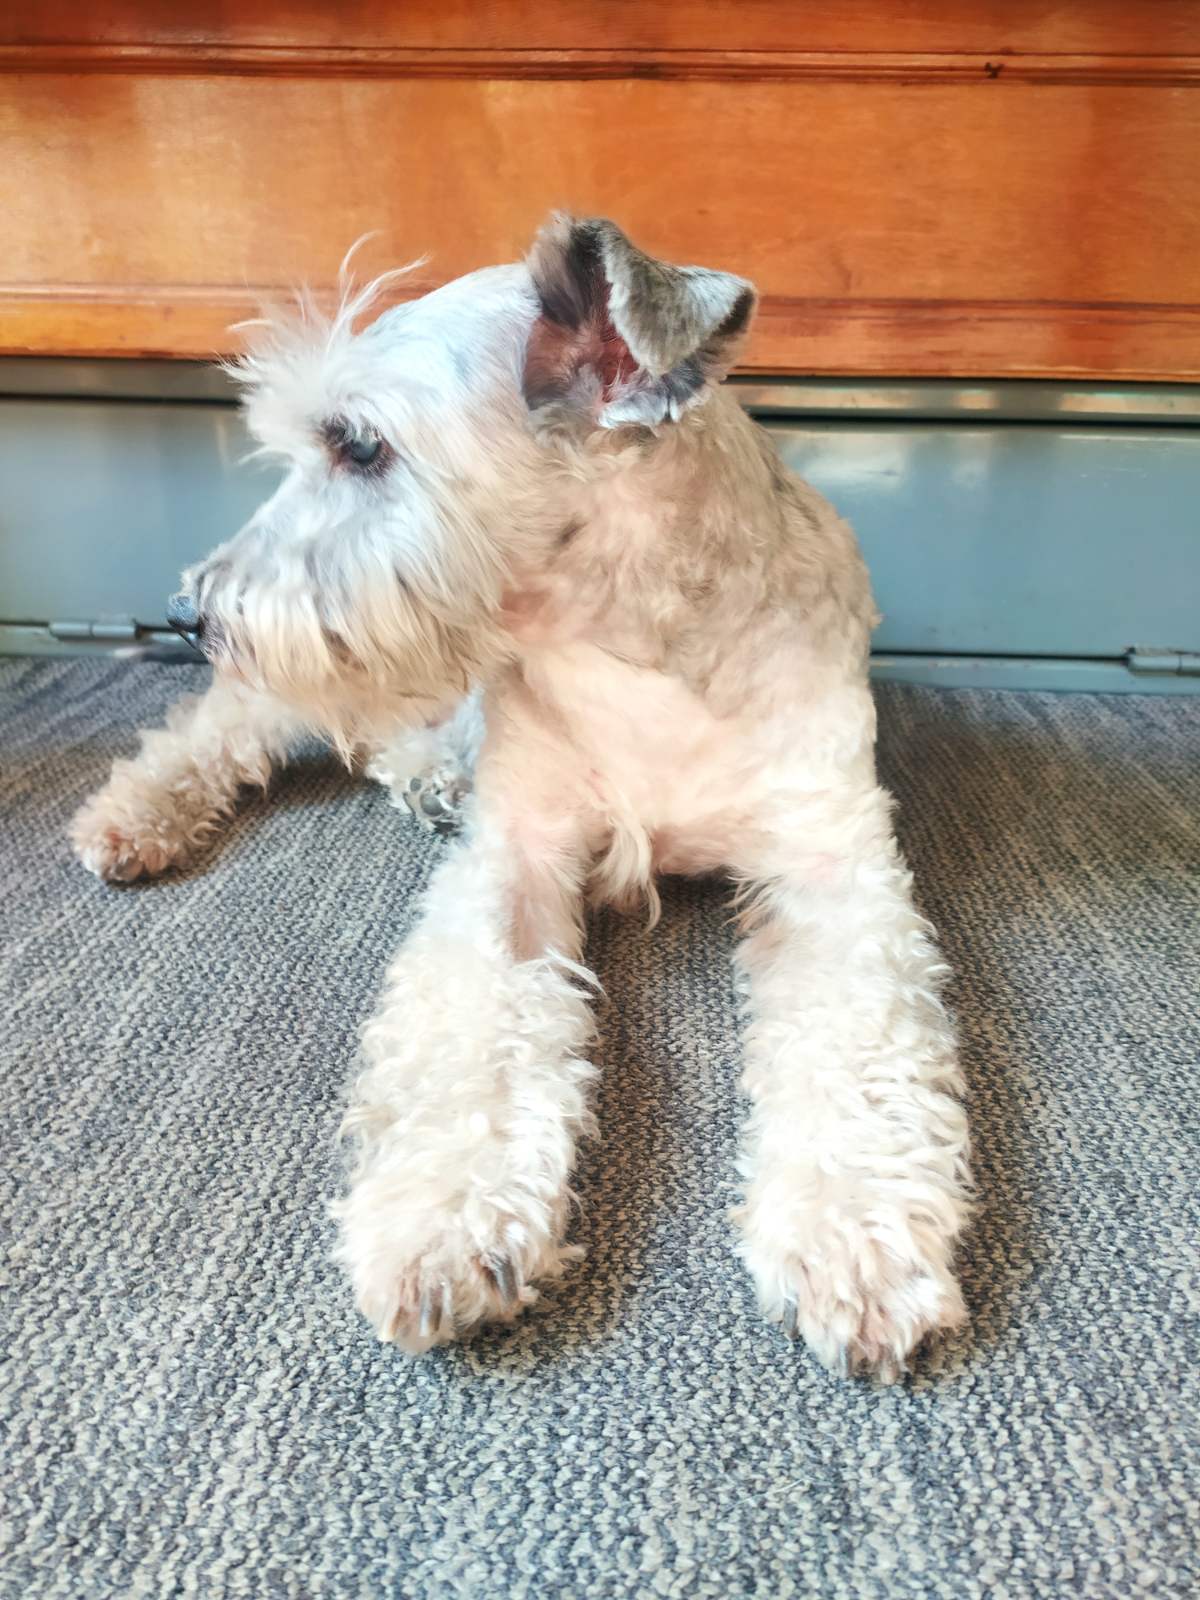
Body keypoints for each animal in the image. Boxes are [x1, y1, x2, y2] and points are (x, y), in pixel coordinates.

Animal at [71, 215, 971, 1379]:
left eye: (359, 443)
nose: (191, 613)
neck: (628, 642)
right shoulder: (520, 858)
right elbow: (479, 1037)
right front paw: (446, 1220)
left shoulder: (831, 860)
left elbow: (859, 1043)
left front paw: (855, 1234)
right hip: (297, 699)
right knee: (221, 726)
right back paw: (134, 817)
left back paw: (425, 778)